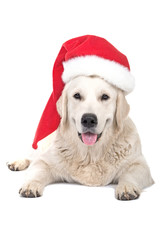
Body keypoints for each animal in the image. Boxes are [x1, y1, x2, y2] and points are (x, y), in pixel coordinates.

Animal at [7, 76, 154, 200]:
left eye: (105, 97)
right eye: (77, 96)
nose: (88, 119)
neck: (90, 154)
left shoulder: (140, 164)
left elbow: (129, 174)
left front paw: (126, 187)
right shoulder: (45, 161)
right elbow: (36, 172)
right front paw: (30, 185)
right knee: (31, 156)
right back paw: (16, 163)